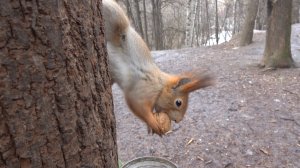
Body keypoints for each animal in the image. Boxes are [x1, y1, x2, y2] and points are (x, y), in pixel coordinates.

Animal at [102, 0, 212, 136]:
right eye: (178, 102)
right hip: (115, 18)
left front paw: (150, 126)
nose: (178, 120)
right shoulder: (143, 89)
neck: (160, 86)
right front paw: (152, 123)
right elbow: (137, 106)